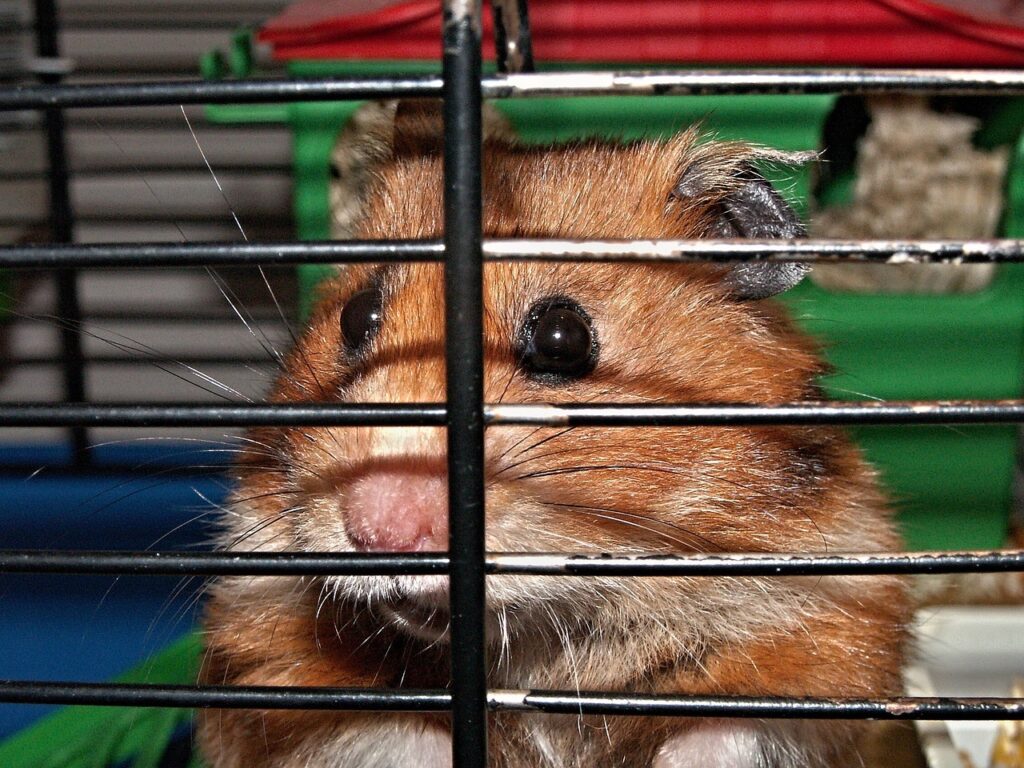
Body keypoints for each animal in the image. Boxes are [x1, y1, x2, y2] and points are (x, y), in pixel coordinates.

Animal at [198, 102, 910, 768]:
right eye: (355, 316)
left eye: (562, 338)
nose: (379, 530)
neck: (543, 634)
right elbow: (390, 733)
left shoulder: (829, 635)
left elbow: (726, 730)